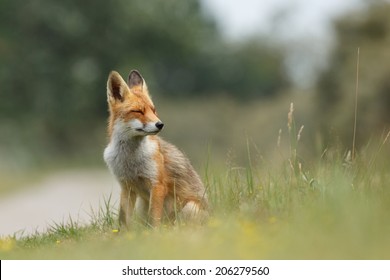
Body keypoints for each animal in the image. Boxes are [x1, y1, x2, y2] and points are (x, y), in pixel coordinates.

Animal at [103, 69, 207, 228]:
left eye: (153, 110)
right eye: (138, 111)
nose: (160, 124)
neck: (130, 159)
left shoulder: (157, 185)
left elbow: (154, 220)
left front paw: (155, 234)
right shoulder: (126, 187)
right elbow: (123, 220)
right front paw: (123, 234)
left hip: (189, 208)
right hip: (142, 206)